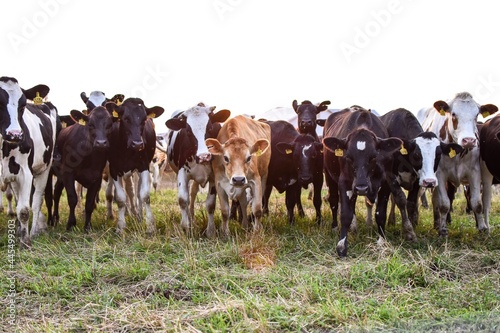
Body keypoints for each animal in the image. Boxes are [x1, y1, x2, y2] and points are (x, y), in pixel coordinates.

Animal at [0, 76, 57, 246]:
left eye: (23, 105)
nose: (15, 134)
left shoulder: (25, 173)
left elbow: (24, 210)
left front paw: (25, 241)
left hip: (44, 169)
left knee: (37, 201)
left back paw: (33, 232)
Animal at [105, 97, 164, 235]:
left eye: (144, 119)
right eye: (125, 119)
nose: (137, 144)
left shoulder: (144, 166)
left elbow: (144, 195)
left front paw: (150, 226)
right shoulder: (114, 169)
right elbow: (120, 198)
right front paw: (120, 227)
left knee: (137, 193)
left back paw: (139, 216)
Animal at [166, 102, 232, 235]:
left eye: (210, 128)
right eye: (188, 131)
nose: (203, 156)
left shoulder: (213, 176)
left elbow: (210, 204)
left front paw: (210, 231)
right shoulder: (182, 172)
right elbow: (183, 199)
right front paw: (186, 227)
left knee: (193, 192)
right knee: (190, 195)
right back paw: (191, 220)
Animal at [320, 108, 414, 256]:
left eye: (374, 156)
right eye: (348, 157)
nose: (362, 188)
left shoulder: (386, 183)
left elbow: (380, 214)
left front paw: (381, 241)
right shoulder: (344, 182)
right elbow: (345, 214)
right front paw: (342, 245)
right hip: (330, 176)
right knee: (334, 201)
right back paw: (335, 227)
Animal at [416, 92, 498, 235]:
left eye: (476, 114)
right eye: (453, 114)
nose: (469, 140)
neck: (458, 153)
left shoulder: (474, 173)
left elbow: (477, 203)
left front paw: (482, 228)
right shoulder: (440, 175)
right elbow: (444, 204)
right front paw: (443, 230)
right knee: (436, 200)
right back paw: (438, 223)